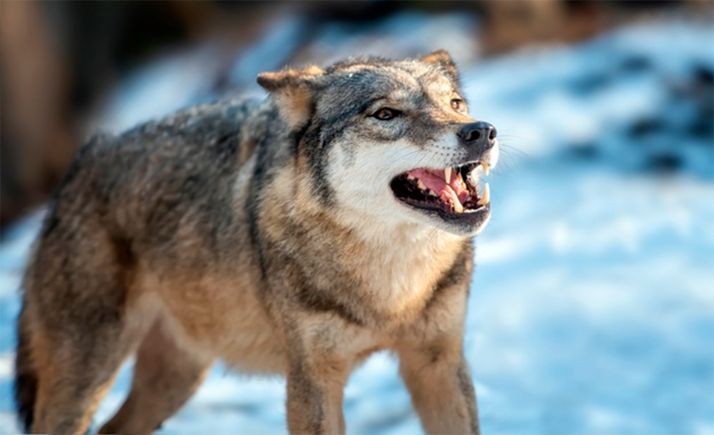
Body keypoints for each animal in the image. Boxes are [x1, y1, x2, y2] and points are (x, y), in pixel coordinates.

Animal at [14, 50, 499, 435]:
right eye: (385, 114)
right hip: (87, 377)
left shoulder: (439, 363)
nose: (481, 130)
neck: (392, 289)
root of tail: (82, 161)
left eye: (455, 104)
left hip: (176, 379)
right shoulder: (311, 380)